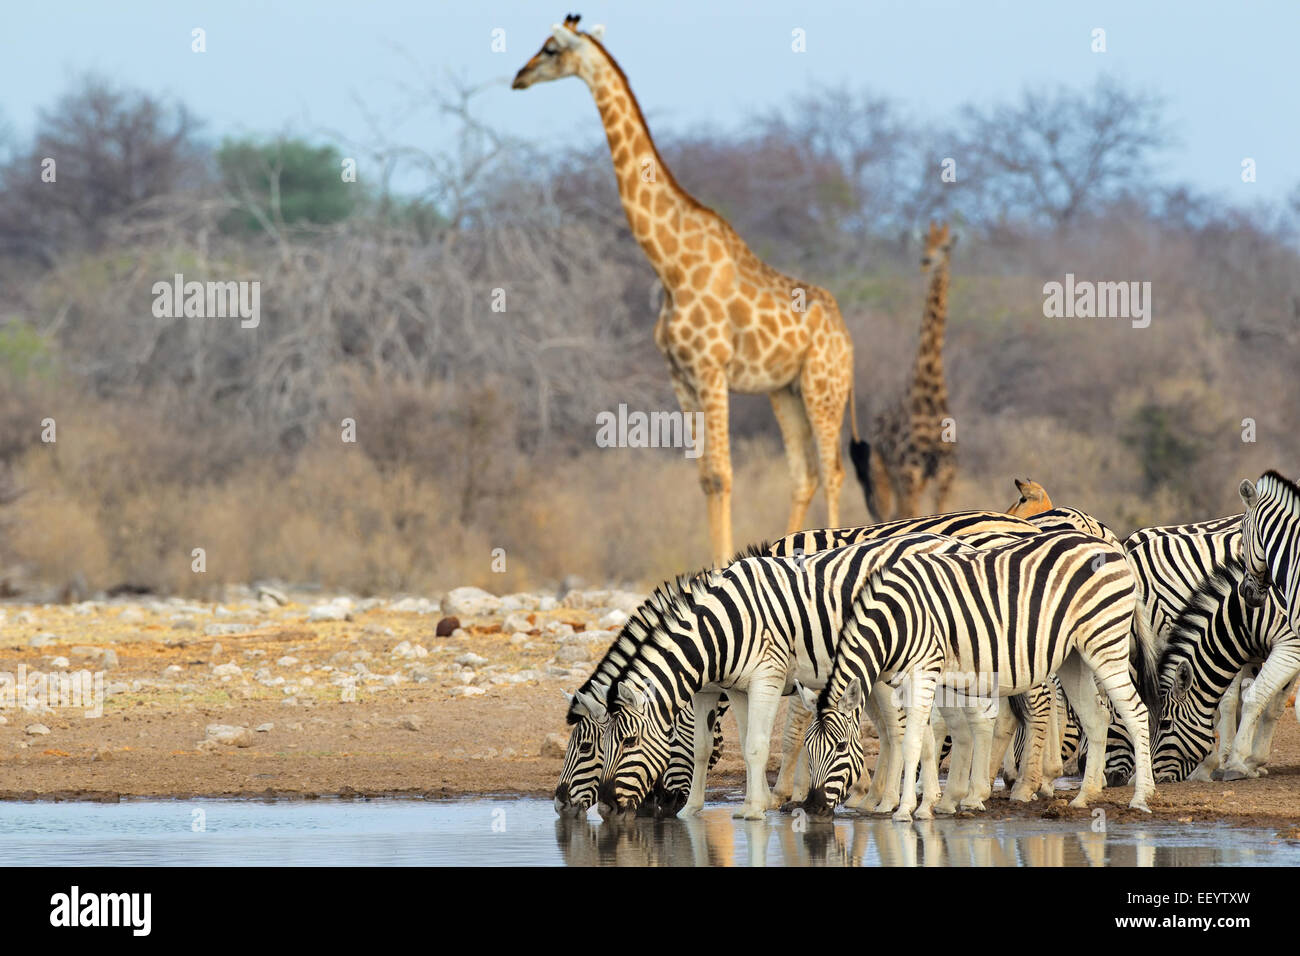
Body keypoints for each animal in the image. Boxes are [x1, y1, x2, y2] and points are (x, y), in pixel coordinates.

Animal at [509, 14, 863, 564]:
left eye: (549, 48)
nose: (518, 77)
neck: (669, 266)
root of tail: (846, 337)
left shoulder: (711, 369)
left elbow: (722, 473)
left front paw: (721, 568)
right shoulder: (680, 377)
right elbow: (704, 478)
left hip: (824, 386)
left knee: (833, 470)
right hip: (785, 390)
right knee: (804, 474)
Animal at [800, 530, 1159, 822]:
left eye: (842, 746)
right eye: (808, 747)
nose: (813, 807)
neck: (896, 620)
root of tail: (1111, 548)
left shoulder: (924, 670)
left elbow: (913, 739)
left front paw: (905, 810)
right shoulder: (915, 680)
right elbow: (927, 741)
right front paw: (927, 805)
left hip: (1105, 642)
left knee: (1136, 712)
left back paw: (1141, 798)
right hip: (1074, 656)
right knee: (1096, 717)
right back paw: (1085, 797)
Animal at [852, 222, 956, 522]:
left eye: (945, 246)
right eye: (924, 242)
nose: (925, 262)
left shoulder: (945, 473)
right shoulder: (909, 470)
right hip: (885, 472)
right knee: (887, 514)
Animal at [1154, 564, 1294, 780]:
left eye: (1165, 724)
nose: (1151, 774)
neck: (1248, 619)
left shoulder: (1289, 646)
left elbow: (1254, 700)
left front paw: (1238, 762)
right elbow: (1267, 707)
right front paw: (1252, 762)